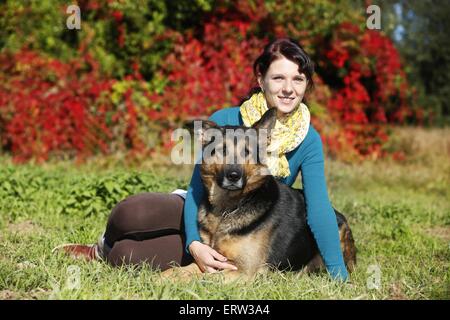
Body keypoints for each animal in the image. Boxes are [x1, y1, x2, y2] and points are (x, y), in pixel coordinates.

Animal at [163, 108, 356, 282]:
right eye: (222, 150)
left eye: (247, 152)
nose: (233, 176)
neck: (227, 209)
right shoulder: (208, 260)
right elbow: (176, 270)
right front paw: (158, 278)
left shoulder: (243, 270)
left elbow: (203, 279)